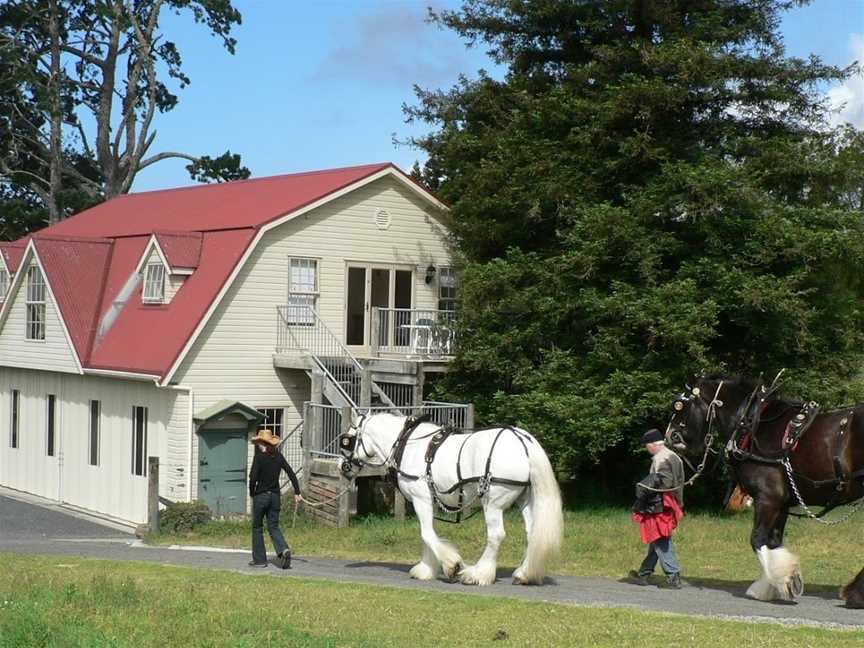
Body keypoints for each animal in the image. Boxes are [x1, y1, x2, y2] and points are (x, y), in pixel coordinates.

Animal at [340, 416, 564, 588]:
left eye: (347, 441)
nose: (343, 467)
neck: (407, 444)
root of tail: (523, 440)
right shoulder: (429, 501)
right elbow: (428, 534)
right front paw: (426, 569)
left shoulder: (420, 498)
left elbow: (427, 534)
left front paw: (451, 566)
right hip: (525, 499)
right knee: (532, 533)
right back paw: (524, 573)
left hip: (492, 503)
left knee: (496, 535)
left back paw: (478, 574)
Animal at [672, 374, 864, 608]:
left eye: (680, 406)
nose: (671, 436)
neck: (752, 424)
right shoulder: (782, 503)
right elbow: (773, 541)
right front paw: (772, 585)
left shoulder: (768, 498)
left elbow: (757, 538)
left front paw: (785, 581)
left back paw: (855, 594)